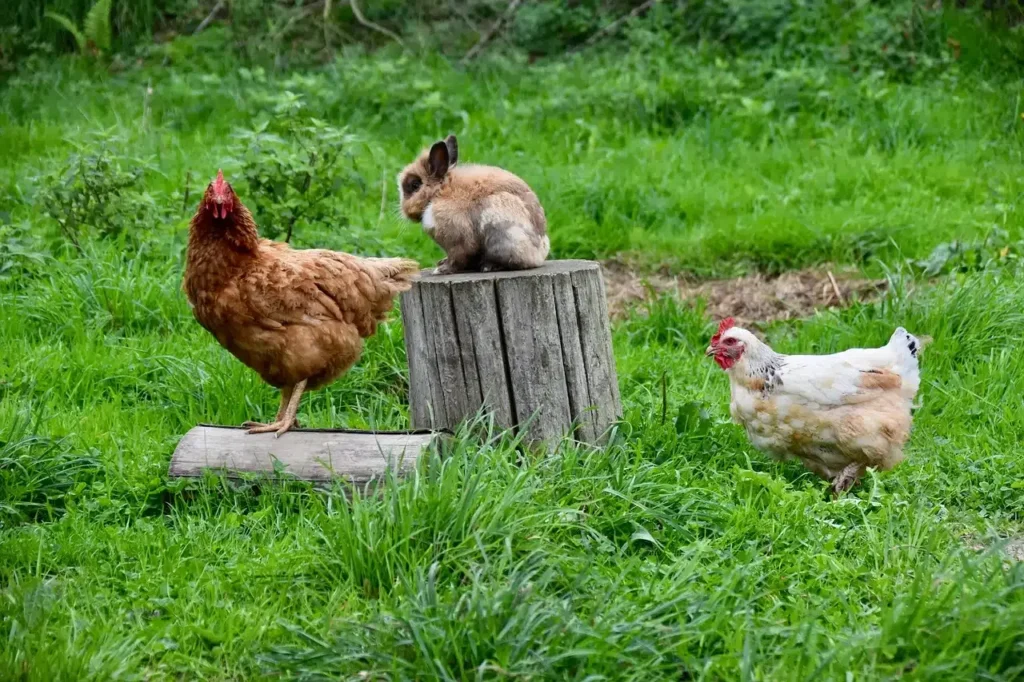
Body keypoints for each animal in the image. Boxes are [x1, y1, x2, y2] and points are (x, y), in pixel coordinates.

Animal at [397, 134, 550, 275]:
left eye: (415, 185)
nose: (404, 211)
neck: (439, 192)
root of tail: (539, 254)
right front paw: (441, 263)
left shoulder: (458, 240)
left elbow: (458, 257)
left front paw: (441, 270)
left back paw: (489, 266)